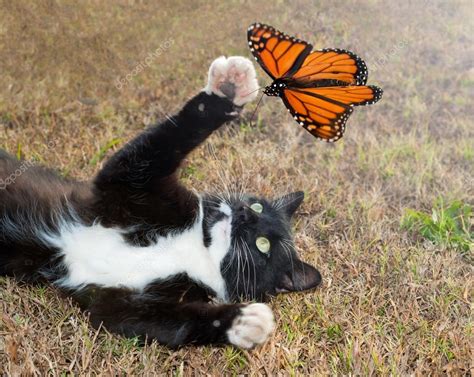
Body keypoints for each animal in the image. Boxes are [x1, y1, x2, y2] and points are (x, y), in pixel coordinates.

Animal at [0, 56, 322, 350]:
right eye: (257, 206)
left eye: (262, 246)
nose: (245, 214)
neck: (198, 248)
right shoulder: (133, 185)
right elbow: (167, 141)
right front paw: (229, 87)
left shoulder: (124, 302)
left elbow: (174, 323)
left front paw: (242, 322)